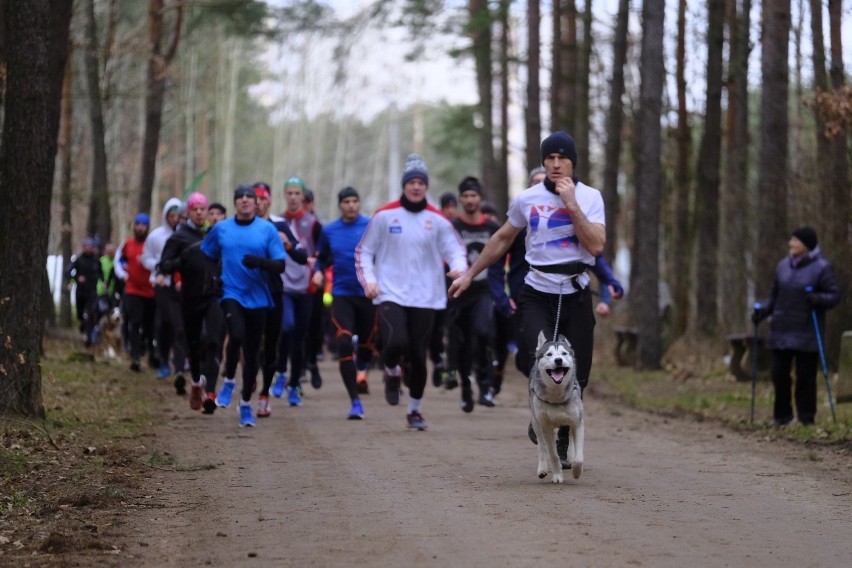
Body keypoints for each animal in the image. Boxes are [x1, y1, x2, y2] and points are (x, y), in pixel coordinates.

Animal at [528, 330, 584, 482]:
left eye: (564, 353)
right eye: (549, 354)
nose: (558, 360)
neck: (556, 396)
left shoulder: (578, 422)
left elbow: (579, 457)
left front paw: (576, 471)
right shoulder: (546, 427)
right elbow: (553, 455)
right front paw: (557, 475)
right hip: (536, 421)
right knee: (541, 446)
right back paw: (542, 468)